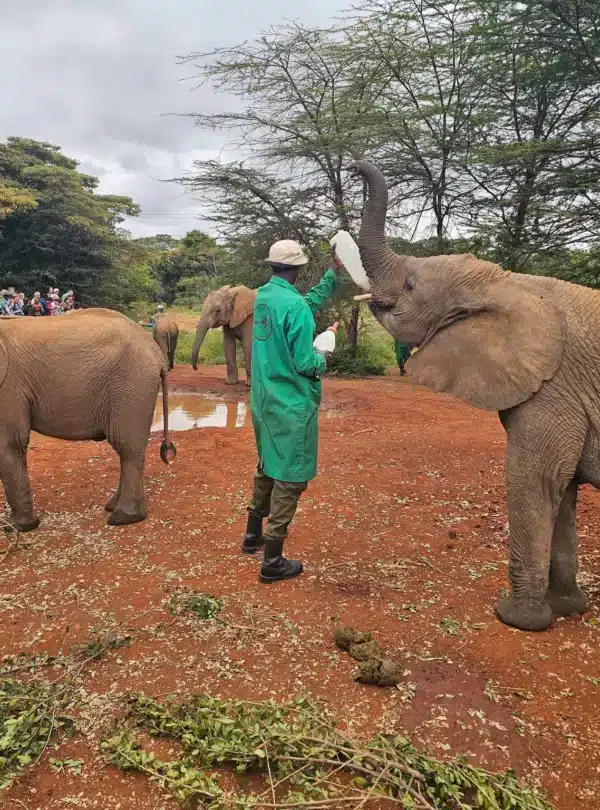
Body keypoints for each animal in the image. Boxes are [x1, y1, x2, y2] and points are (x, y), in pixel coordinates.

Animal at [0, 308, 175, 531]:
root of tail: (156, 354)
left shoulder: (7, 386)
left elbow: (9, 443)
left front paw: (16, 527)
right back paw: (112, 507)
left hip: (132, 384)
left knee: (127, 447)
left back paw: (122, 518)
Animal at [349, 159, 600, 632]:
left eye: (410, 285)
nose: (354, 166)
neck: (506, 282)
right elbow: (564, 490)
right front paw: (565, 609)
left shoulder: (555, 386)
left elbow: (534, 479)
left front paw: (517, 619)